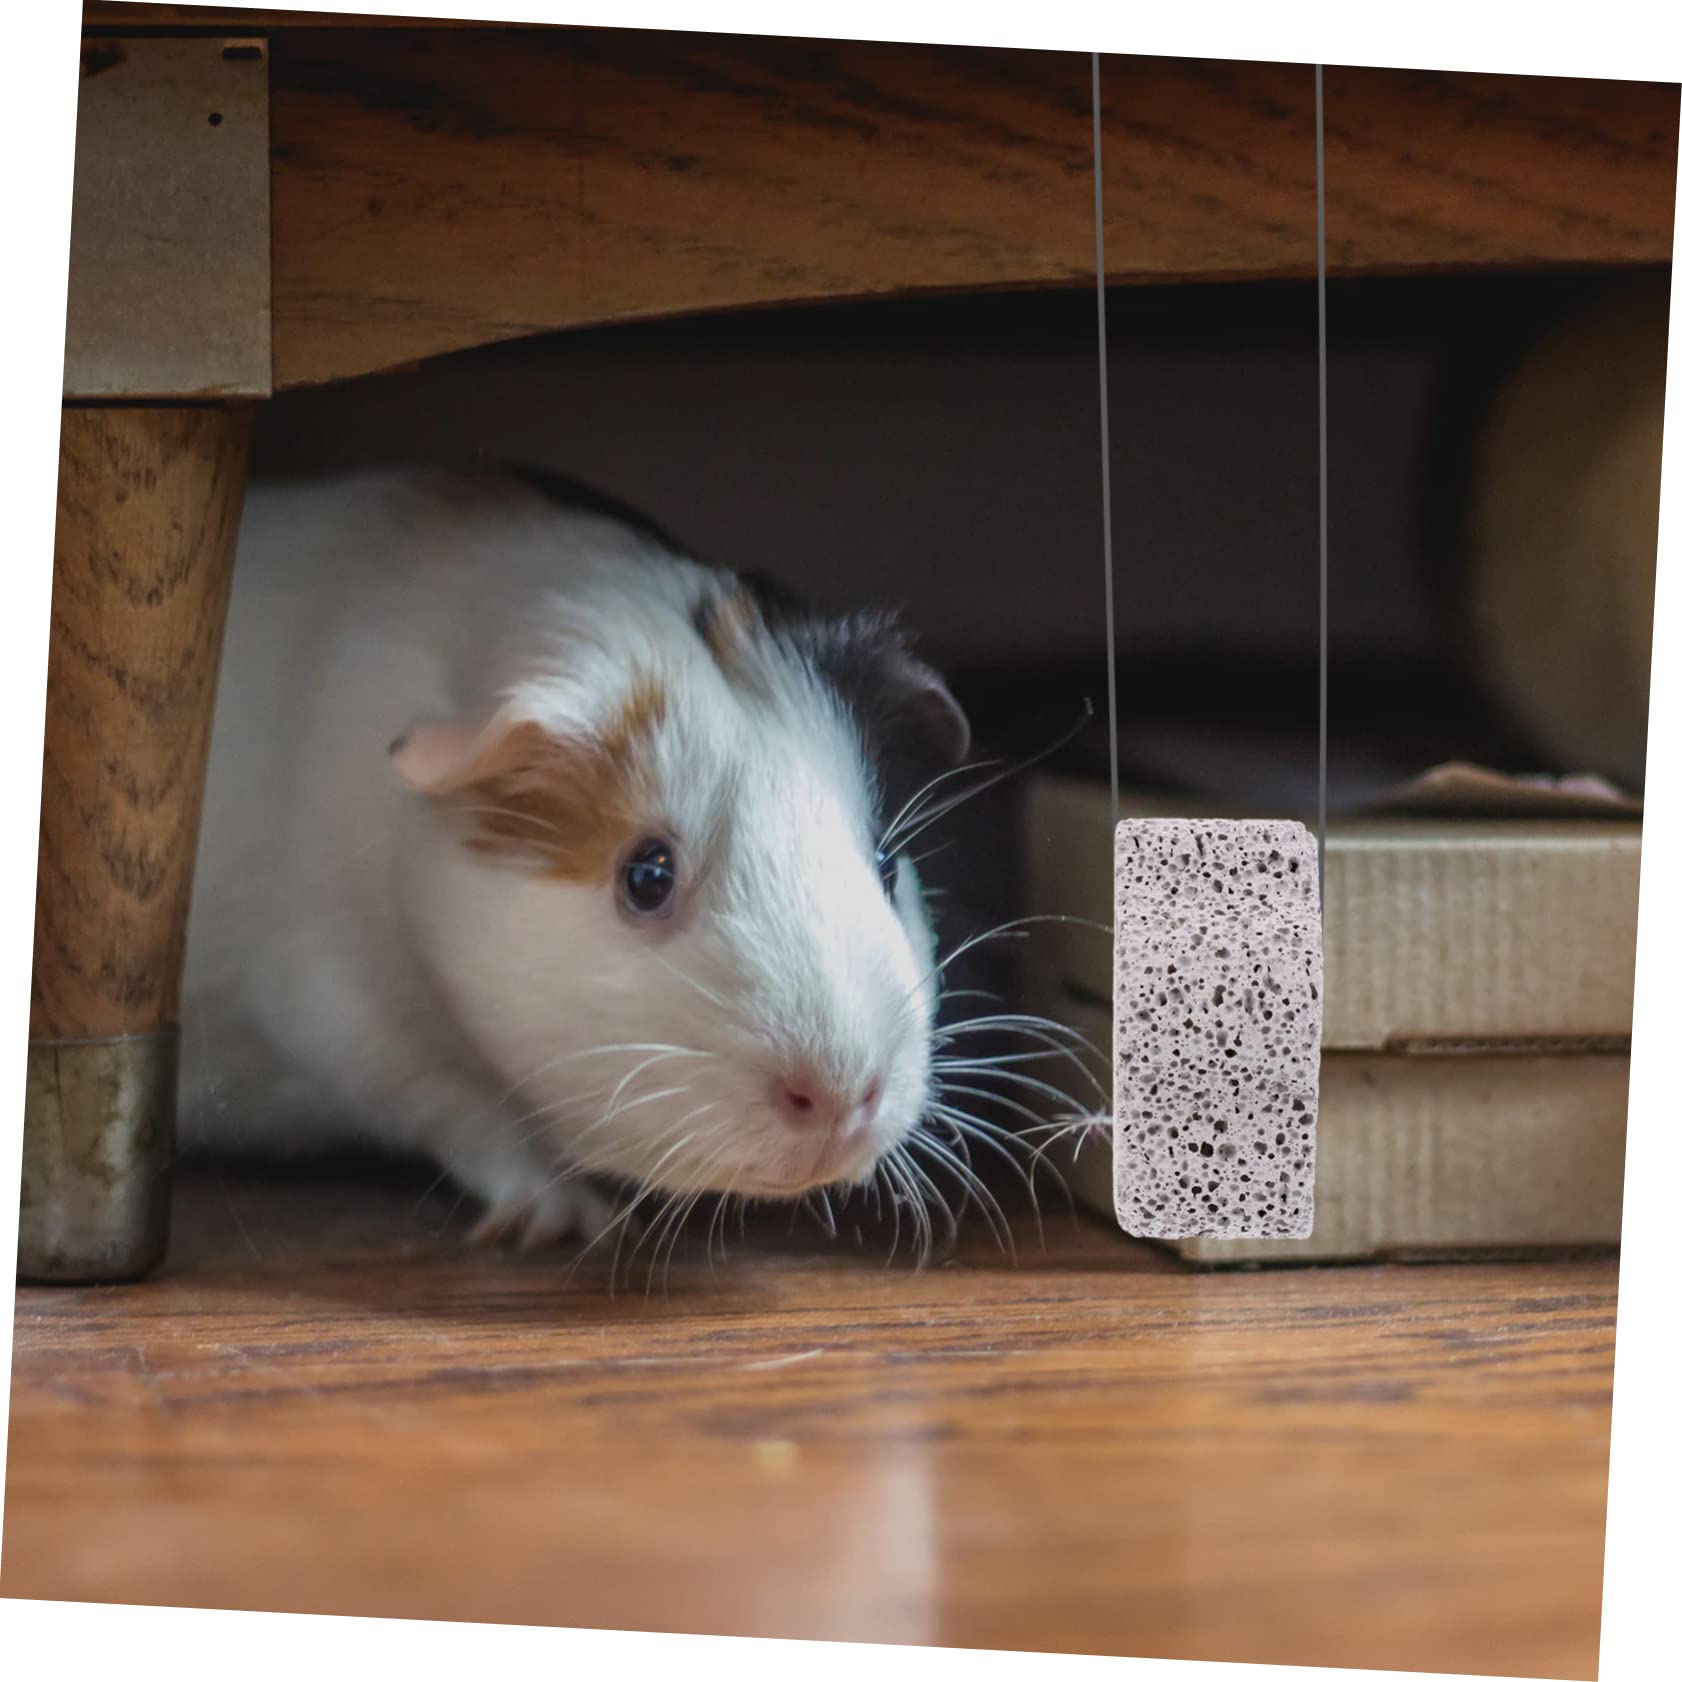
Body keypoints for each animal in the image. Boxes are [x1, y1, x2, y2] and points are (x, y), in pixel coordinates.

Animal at [179, 466, 971, 1248]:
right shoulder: (343, 1014)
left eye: (886, 862)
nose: (841, 1099)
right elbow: (461, 1111)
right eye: (646, 877)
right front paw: (568, 1222)